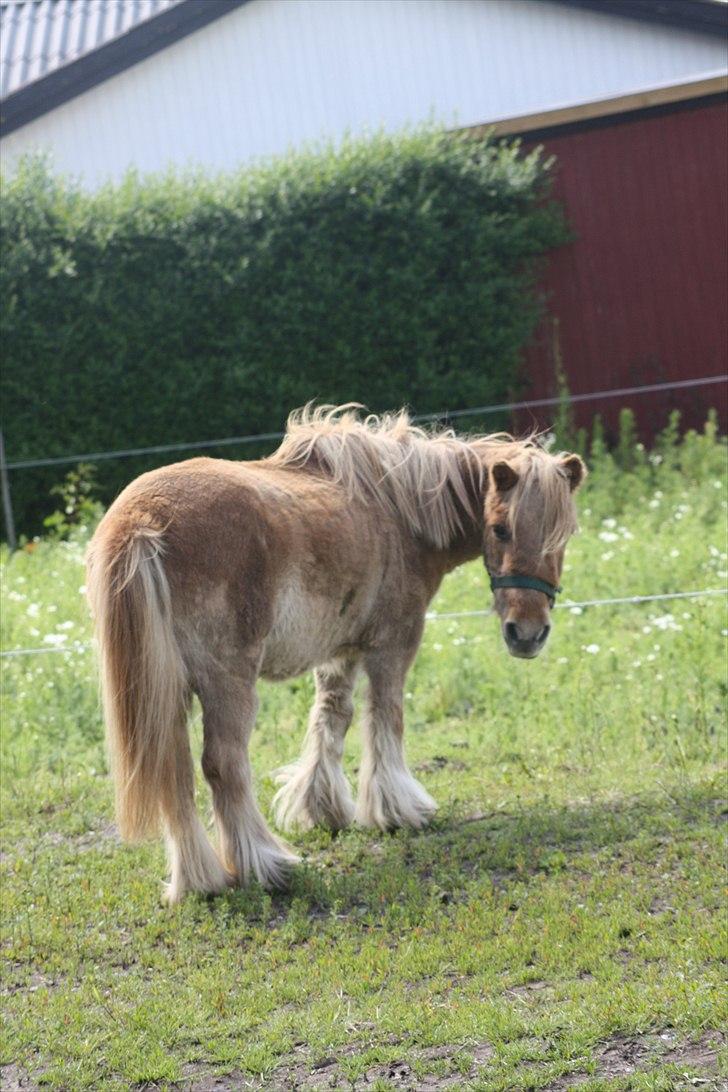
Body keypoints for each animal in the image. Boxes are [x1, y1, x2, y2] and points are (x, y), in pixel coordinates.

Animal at [86, 406, 585, 899]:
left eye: (563, 536)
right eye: (500, 530)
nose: (527, 634)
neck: (398, 509)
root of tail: (141, 520)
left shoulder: (337, 653)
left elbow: (332, 719)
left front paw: (322, 808)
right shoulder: (392, 646)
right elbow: (385, 720)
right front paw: (398, 810)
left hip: (164, 692)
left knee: (174, 774)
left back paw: (200, 880)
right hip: (226, 682)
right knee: (223, 765)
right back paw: (266, 864)